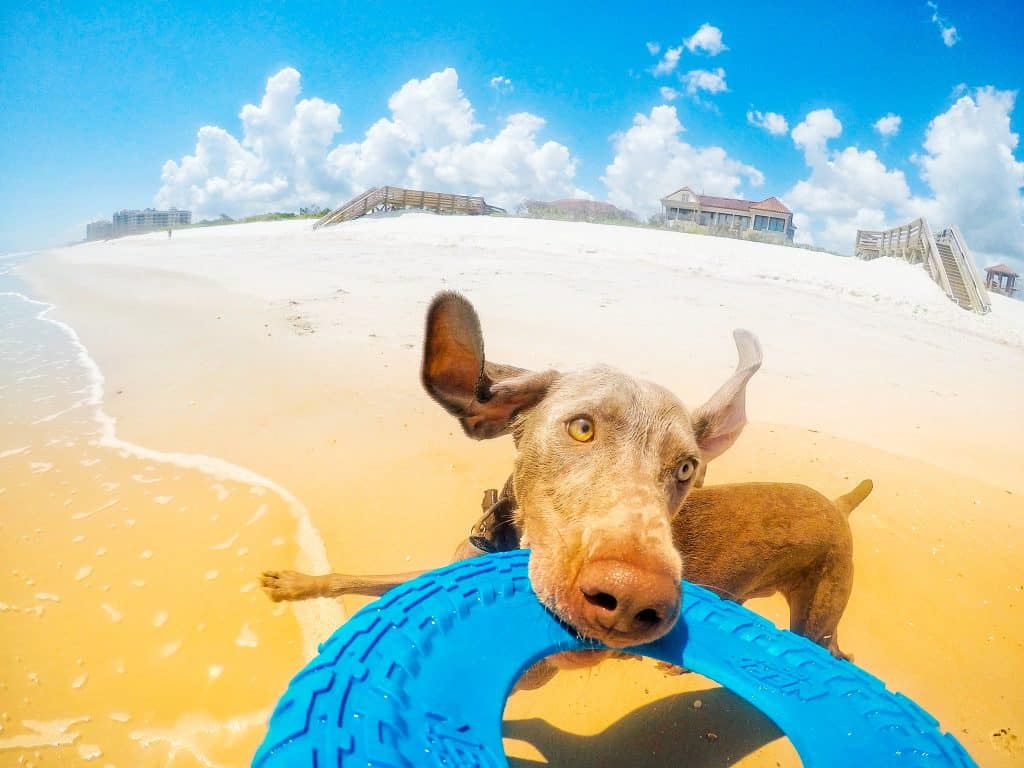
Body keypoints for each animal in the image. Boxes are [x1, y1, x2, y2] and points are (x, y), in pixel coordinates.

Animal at [260, 292, 868, 679]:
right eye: (581, 427)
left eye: (685, 468)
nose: (633, 601)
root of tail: (837, 503)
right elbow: (360, 578)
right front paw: (293, 583)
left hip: (820, 610)